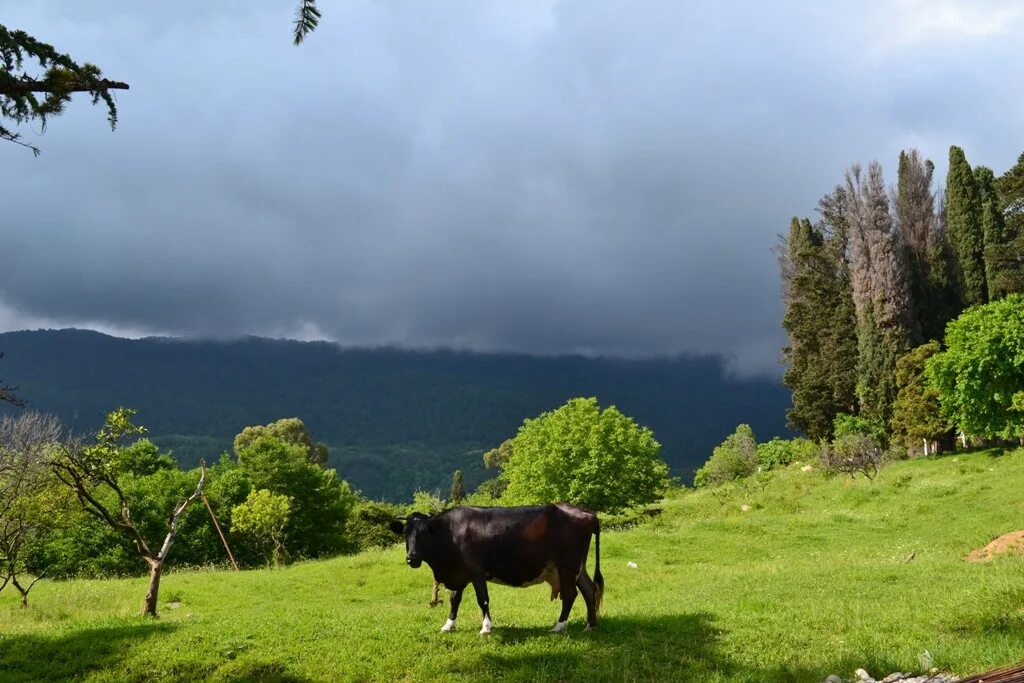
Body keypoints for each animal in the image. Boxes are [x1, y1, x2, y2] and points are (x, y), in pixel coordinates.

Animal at [389, 501, 598, 634]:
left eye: (424, 533)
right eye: (405, 533)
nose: (412, 558)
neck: (450, 533)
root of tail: (586, 512)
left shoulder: (476, 572)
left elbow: (483, 599)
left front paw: (486, 628)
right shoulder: (459, 573)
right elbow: (454, 600)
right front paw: (448, 626)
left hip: (567, 566)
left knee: (570, 595)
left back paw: (558, 627)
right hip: (578, 568)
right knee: (589, 590)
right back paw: (590, 626)